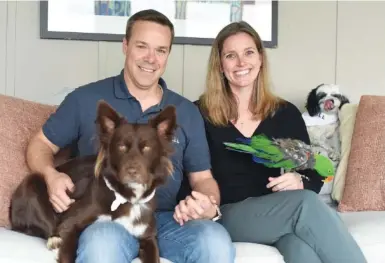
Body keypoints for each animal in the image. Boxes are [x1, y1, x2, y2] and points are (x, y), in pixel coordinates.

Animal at [9, 101, 176, 263]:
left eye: (147, 147)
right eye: (121, 146)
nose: (132, 172)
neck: (126, 196)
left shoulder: (148, 237)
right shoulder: (69, 224)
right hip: (33, 182)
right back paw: (54, 240)